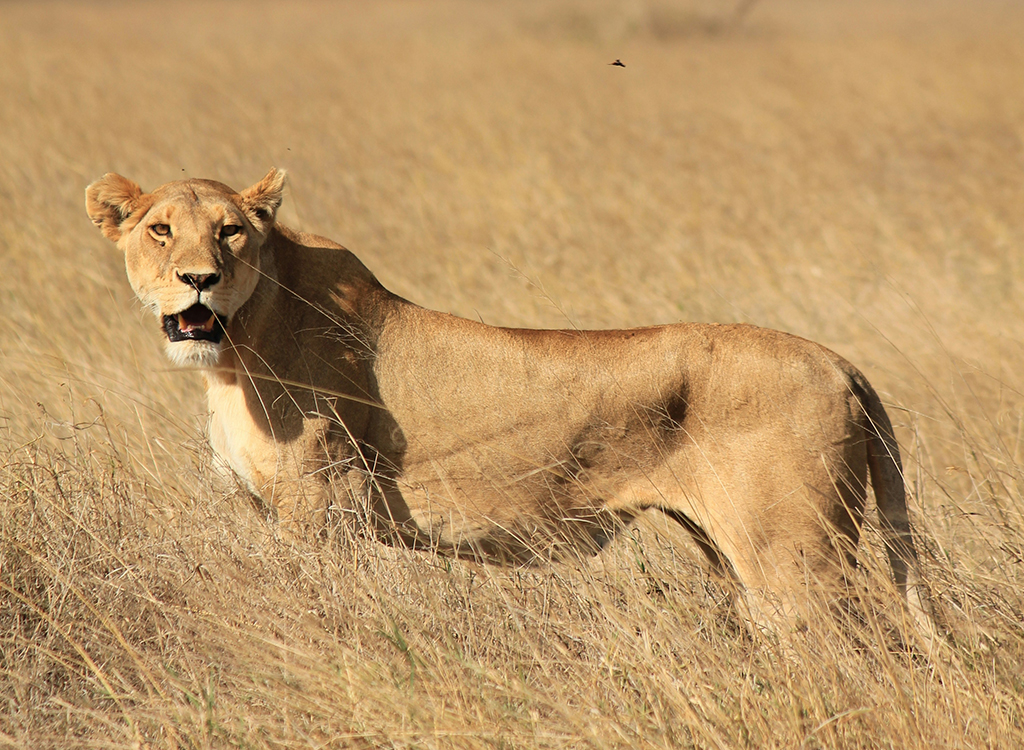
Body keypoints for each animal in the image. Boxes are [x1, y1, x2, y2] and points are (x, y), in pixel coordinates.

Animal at [86, 168, 930, 631]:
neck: (232, 355)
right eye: (160, 231)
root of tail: (837, 360)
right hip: (730, 549)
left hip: (797, 558)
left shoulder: (318, 511)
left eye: (230, 232)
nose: (199, 280)